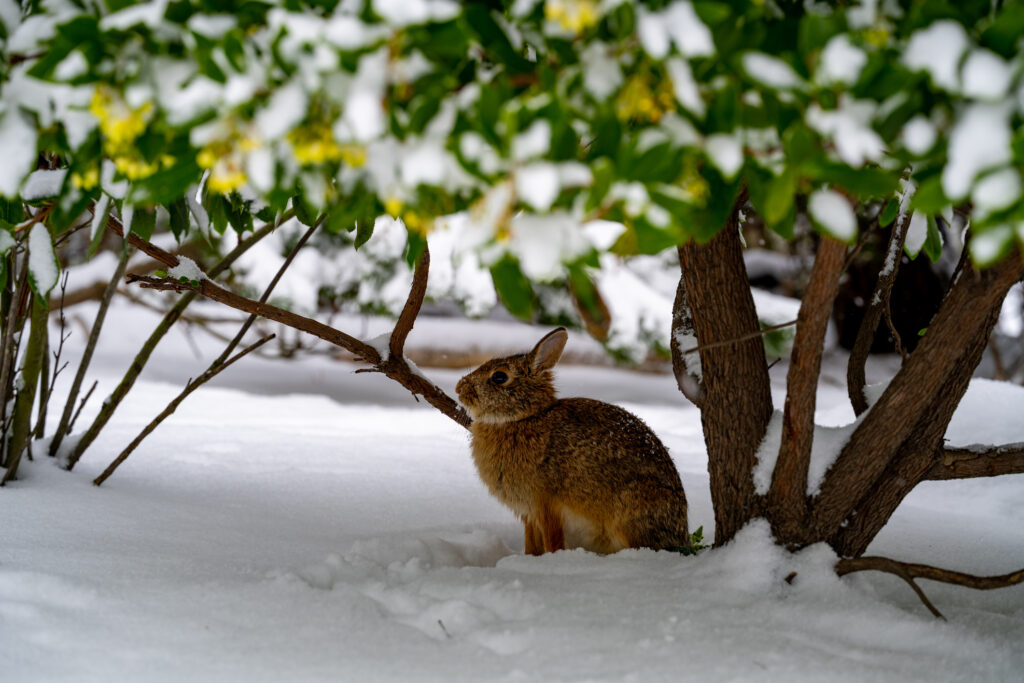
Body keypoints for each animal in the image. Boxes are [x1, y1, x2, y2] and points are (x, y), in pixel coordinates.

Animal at [454, 327, 688, 557]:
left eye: (499, 377)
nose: (459, 388)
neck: (524, 418)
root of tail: (680, 533)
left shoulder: (546, 505)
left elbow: (553, 540)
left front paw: (554, 559)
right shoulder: (529, 513)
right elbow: (531, 543)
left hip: (633, 505)